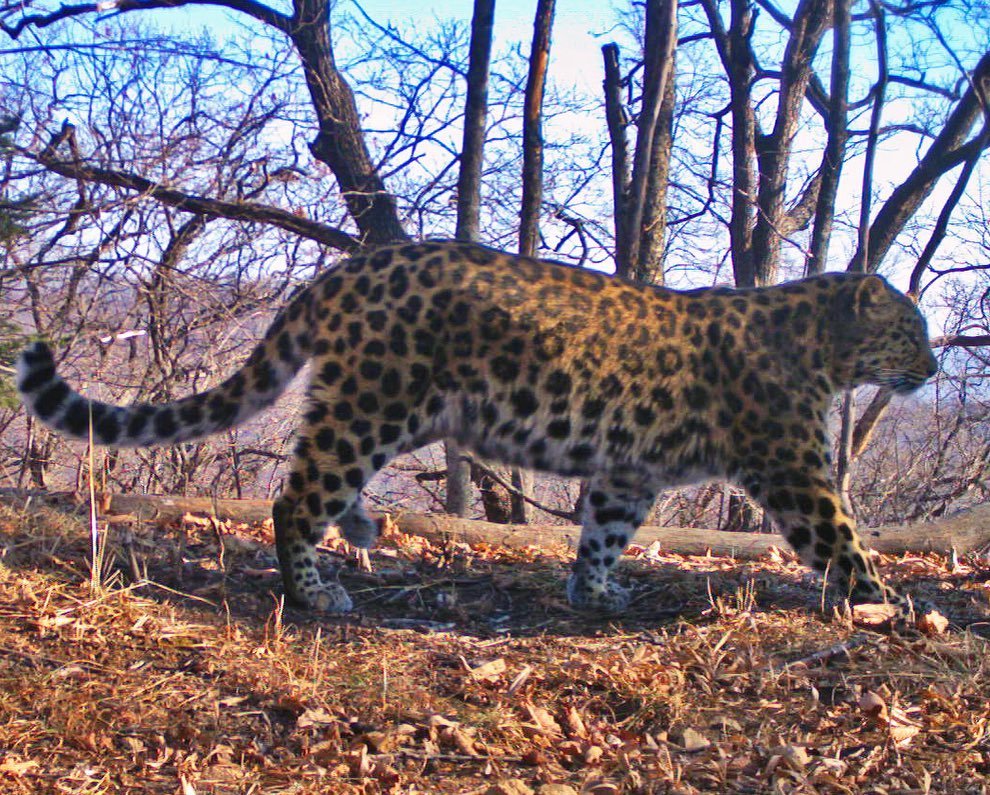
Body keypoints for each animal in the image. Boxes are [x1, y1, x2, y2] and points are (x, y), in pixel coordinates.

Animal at [19, 241, 940, 616]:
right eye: (913, 330)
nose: (934, 368)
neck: (823, 344)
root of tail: (346, 268)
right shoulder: (794, 468)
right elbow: (841, 534)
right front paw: (885, 602)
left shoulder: (628, 470)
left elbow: (605, 529)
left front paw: (595, 592)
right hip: (378, 401)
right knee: (293, 498)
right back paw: (317, 592)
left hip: (370, 405)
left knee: (316, 477)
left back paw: (358, 532)